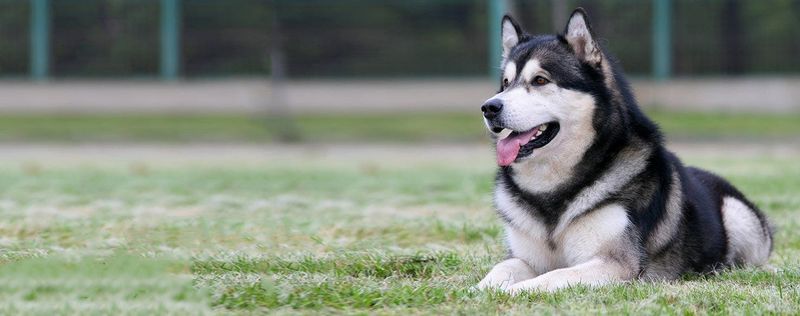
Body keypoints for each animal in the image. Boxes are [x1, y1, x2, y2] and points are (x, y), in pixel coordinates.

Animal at [478, 7, 772, 294]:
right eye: (506, 83)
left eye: (540, 80)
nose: (489, 107)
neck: (552, 190)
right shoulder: (524, 257)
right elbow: (502, 268)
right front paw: (482, 289)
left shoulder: (615, 263)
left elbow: (553, 276)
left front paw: (516, 290)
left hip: (737, 215)